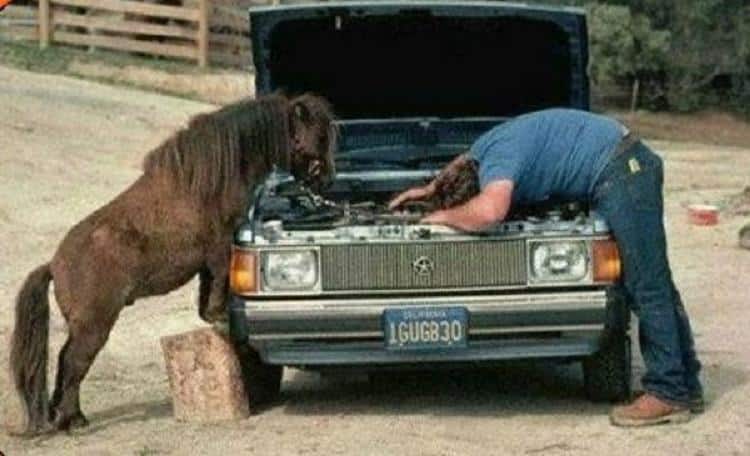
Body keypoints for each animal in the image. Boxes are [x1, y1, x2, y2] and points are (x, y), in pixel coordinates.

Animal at [8, 93, 338, 436]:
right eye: (317, 135)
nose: (327, 178)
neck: (218, 176)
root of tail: (53, 264)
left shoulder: (209, 258)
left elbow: (208, 289)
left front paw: (212, 316)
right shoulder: (220, 246)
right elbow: (219, 279)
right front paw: (220, 316)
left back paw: (61, 416)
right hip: (93, 326)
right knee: (72, 362)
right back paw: (74, 419)